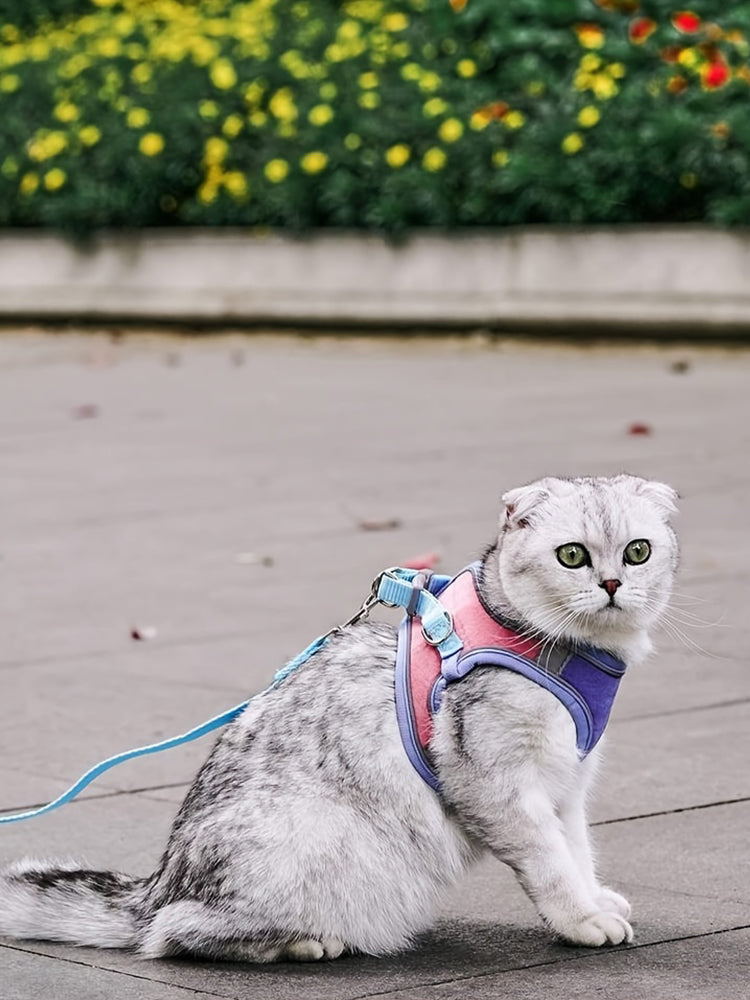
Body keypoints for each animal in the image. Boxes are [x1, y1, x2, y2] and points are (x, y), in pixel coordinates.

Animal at [0, 474, 680, 960]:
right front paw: (581, 919)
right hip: (313, 841)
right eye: (572, 556)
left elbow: (577, 850)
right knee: (173, 934)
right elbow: (550, 863)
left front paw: (595, 899)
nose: (613, 583)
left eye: (637, 551)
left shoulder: (568, 783)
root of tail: (158, 882)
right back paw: (303, 942)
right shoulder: (498, 782)